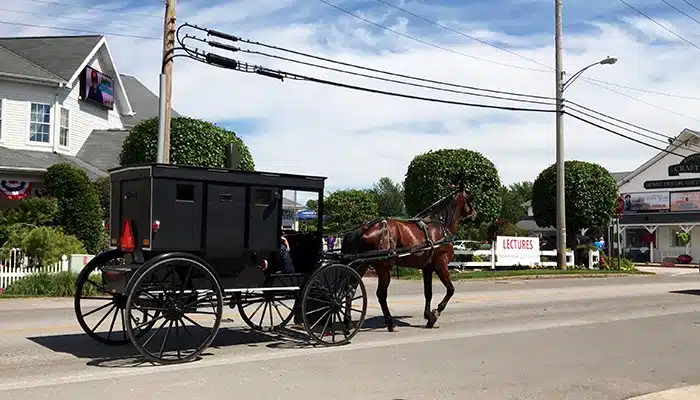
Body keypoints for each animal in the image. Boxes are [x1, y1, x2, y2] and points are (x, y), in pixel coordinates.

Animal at [338, 181, 476, 332]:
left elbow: (428, 292)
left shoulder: (427, 268)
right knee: (381, 294)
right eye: (470, 198)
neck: (441, 227)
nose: (474, 213)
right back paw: (390, 323)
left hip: (362, 265)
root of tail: (362, 229)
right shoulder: (441, 265)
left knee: (350, 290)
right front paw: (434, 315)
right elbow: (451, 290)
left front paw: (428, 315)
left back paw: (347, 323)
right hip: (383, 267)